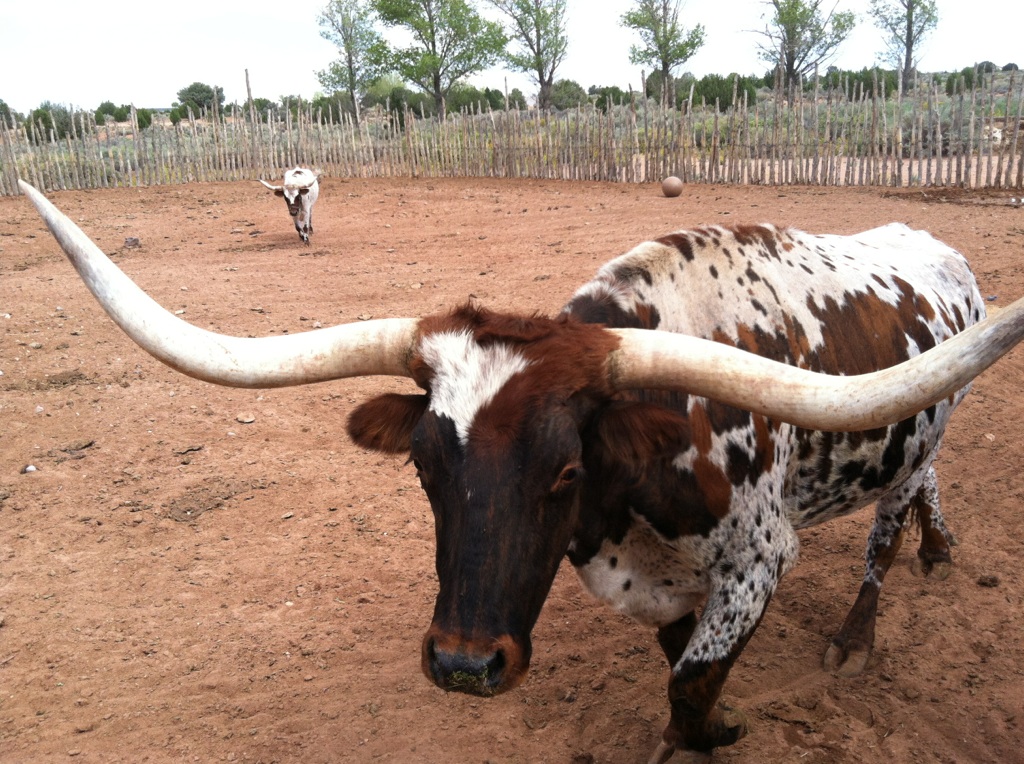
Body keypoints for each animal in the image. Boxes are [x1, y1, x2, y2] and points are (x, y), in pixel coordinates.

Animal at [19, 179, 1024, 761]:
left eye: (565, 472)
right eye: (424, 467)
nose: (465, 665)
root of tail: (939, 249)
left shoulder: (760, 560)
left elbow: (691, 684)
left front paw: (718, 729)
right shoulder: (674, 588)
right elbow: (680, 668)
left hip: (923, 437)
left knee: (890, 522)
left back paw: (862, 625)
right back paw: (938, 549)